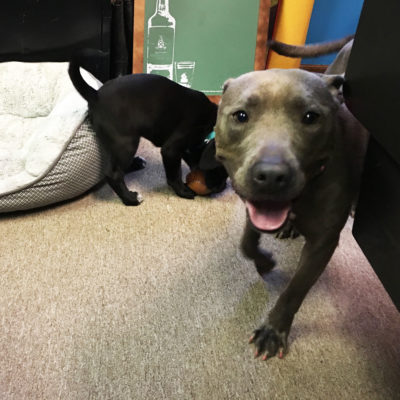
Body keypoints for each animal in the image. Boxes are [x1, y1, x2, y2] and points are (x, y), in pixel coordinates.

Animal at [69, 51, 219, 205]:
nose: (222, 187)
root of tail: (96, 95)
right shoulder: (171, 149)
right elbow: (174, 174)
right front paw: (183, 191)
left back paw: (136, 164)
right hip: (127, 143)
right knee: (114, 174)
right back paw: (130, 198)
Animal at [214, 39, 368, 360]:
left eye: (311, 117)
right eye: (241, 115)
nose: (271, 175)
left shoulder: (322, 244)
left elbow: (295, 290)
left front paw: (273, 331)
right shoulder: (251, 205)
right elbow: (246, 243)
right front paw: (264, 262)